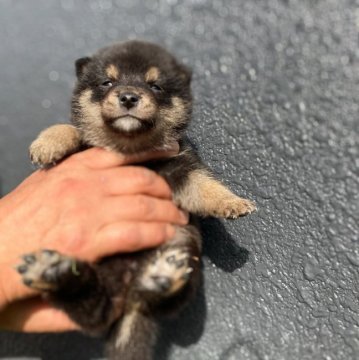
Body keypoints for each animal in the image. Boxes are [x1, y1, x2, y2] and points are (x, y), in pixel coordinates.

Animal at [16, 40, 256, 358]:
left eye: (155, 86)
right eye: (107, 82)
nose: (129, 96)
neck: (129, 149)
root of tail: (132, 298)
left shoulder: (181, 166)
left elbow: (204, 186)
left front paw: (232, 202)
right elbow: (72, 129)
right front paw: (48, 142)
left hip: (185, 248)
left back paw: (162, 276)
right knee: (95, 311)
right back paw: (54, 272)